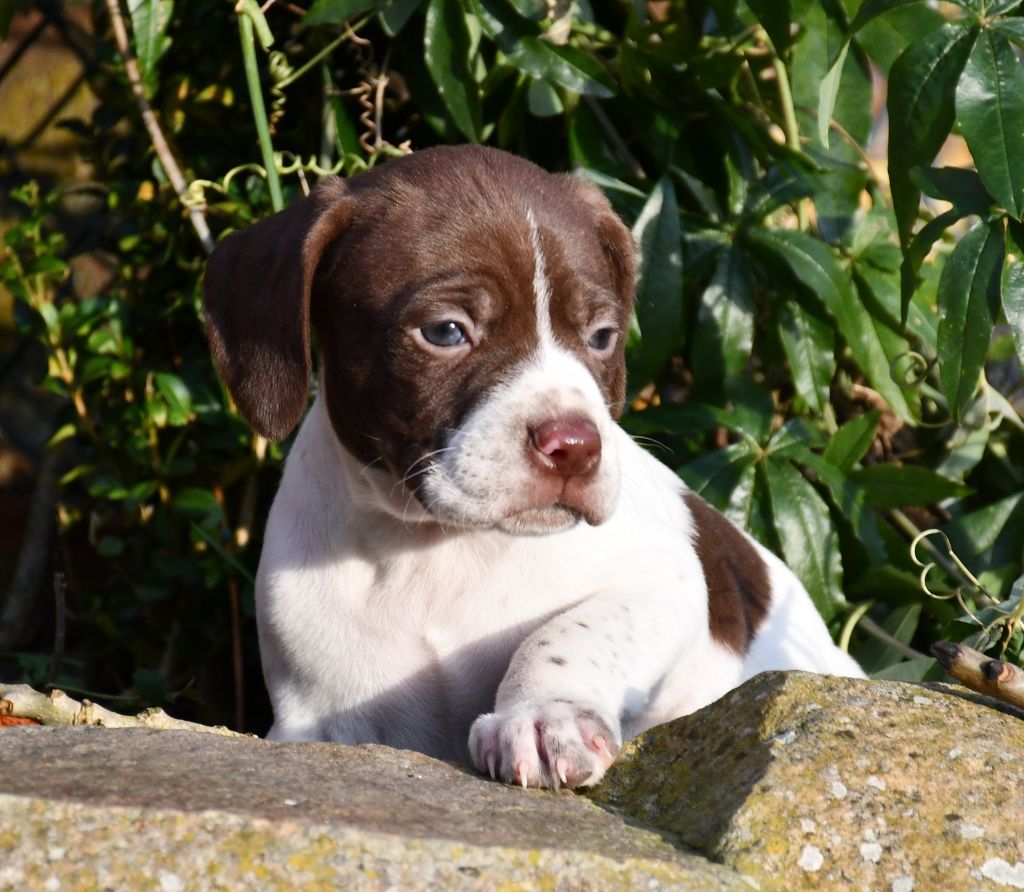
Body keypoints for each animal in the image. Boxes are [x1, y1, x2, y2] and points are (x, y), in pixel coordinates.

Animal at [201, 148, 864, 794]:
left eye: (602, 336)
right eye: (446, 332)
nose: (574, 445)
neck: (437, 549)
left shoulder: (668, 584)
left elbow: (571, 630)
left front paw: (546, 717)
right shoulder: (316, 719)